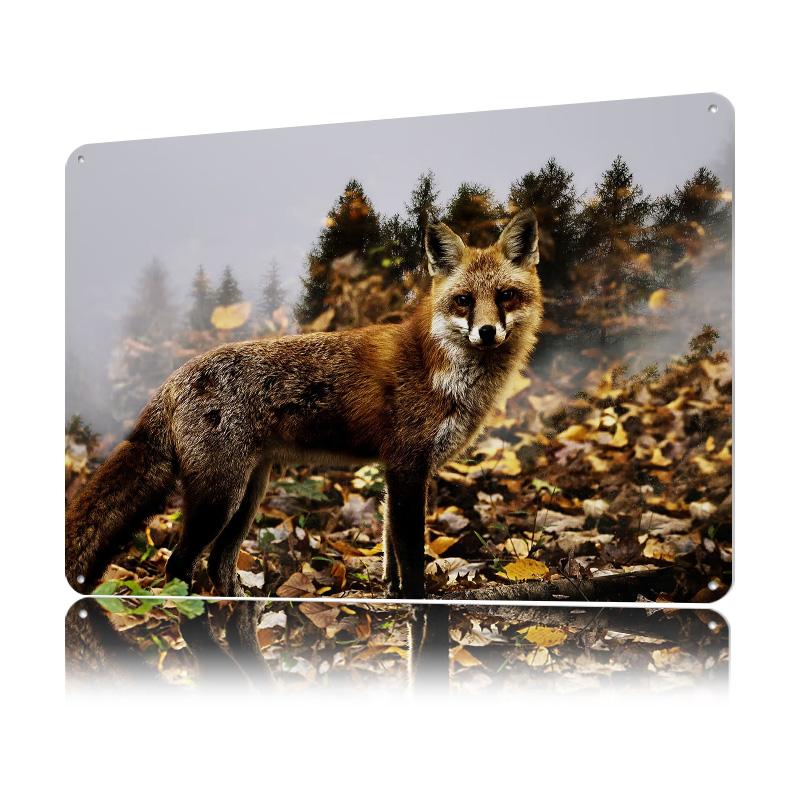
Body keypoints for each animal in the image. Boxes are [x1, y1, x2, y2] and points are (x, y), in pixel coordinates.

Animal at [66, 209, 543, 598]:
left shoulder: (396, 472)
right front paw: (416, 604)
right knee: (179, 565)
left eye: (505, 296)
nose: (486, 332)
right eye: (463, 300)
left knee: (219, 565)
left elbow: (390, 553)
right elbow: (411, 560)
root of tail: (171, 381)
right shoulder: (408, 466)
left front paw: (392, 596)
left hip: (248, 494)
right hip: (219, 497)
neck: (438, 367)